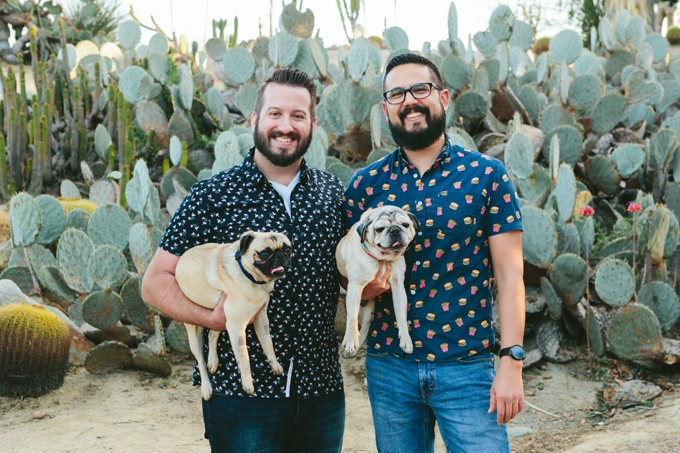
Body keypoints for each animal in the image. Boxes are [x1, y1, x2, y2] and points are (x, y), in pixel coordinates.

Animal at [174, 231, 290, 398]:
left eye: (287, 249)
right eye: (264, 253)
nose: (280, 255)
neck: (251, 278)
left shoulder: (261, 319)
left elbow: (268, 345)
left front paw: (275, 365)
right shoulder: (236, 328)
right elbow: (244, 359)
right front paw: (247, 384)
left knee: (212, 335)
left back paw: (213, 361)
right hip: (195, 333)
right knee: (201, 361)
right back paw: (206, 388)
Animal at [336, 205, 420, 356]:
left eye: (405, 225)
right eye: (379, 229)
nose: (395, 229)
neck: (383, 258)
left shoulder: (398, 289)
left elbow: (401, 317)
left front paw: (406, 339)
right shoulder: (355, 287)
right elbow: (351, 318)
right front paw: (350, 340)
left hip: (368, 312)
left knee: (364, 329)